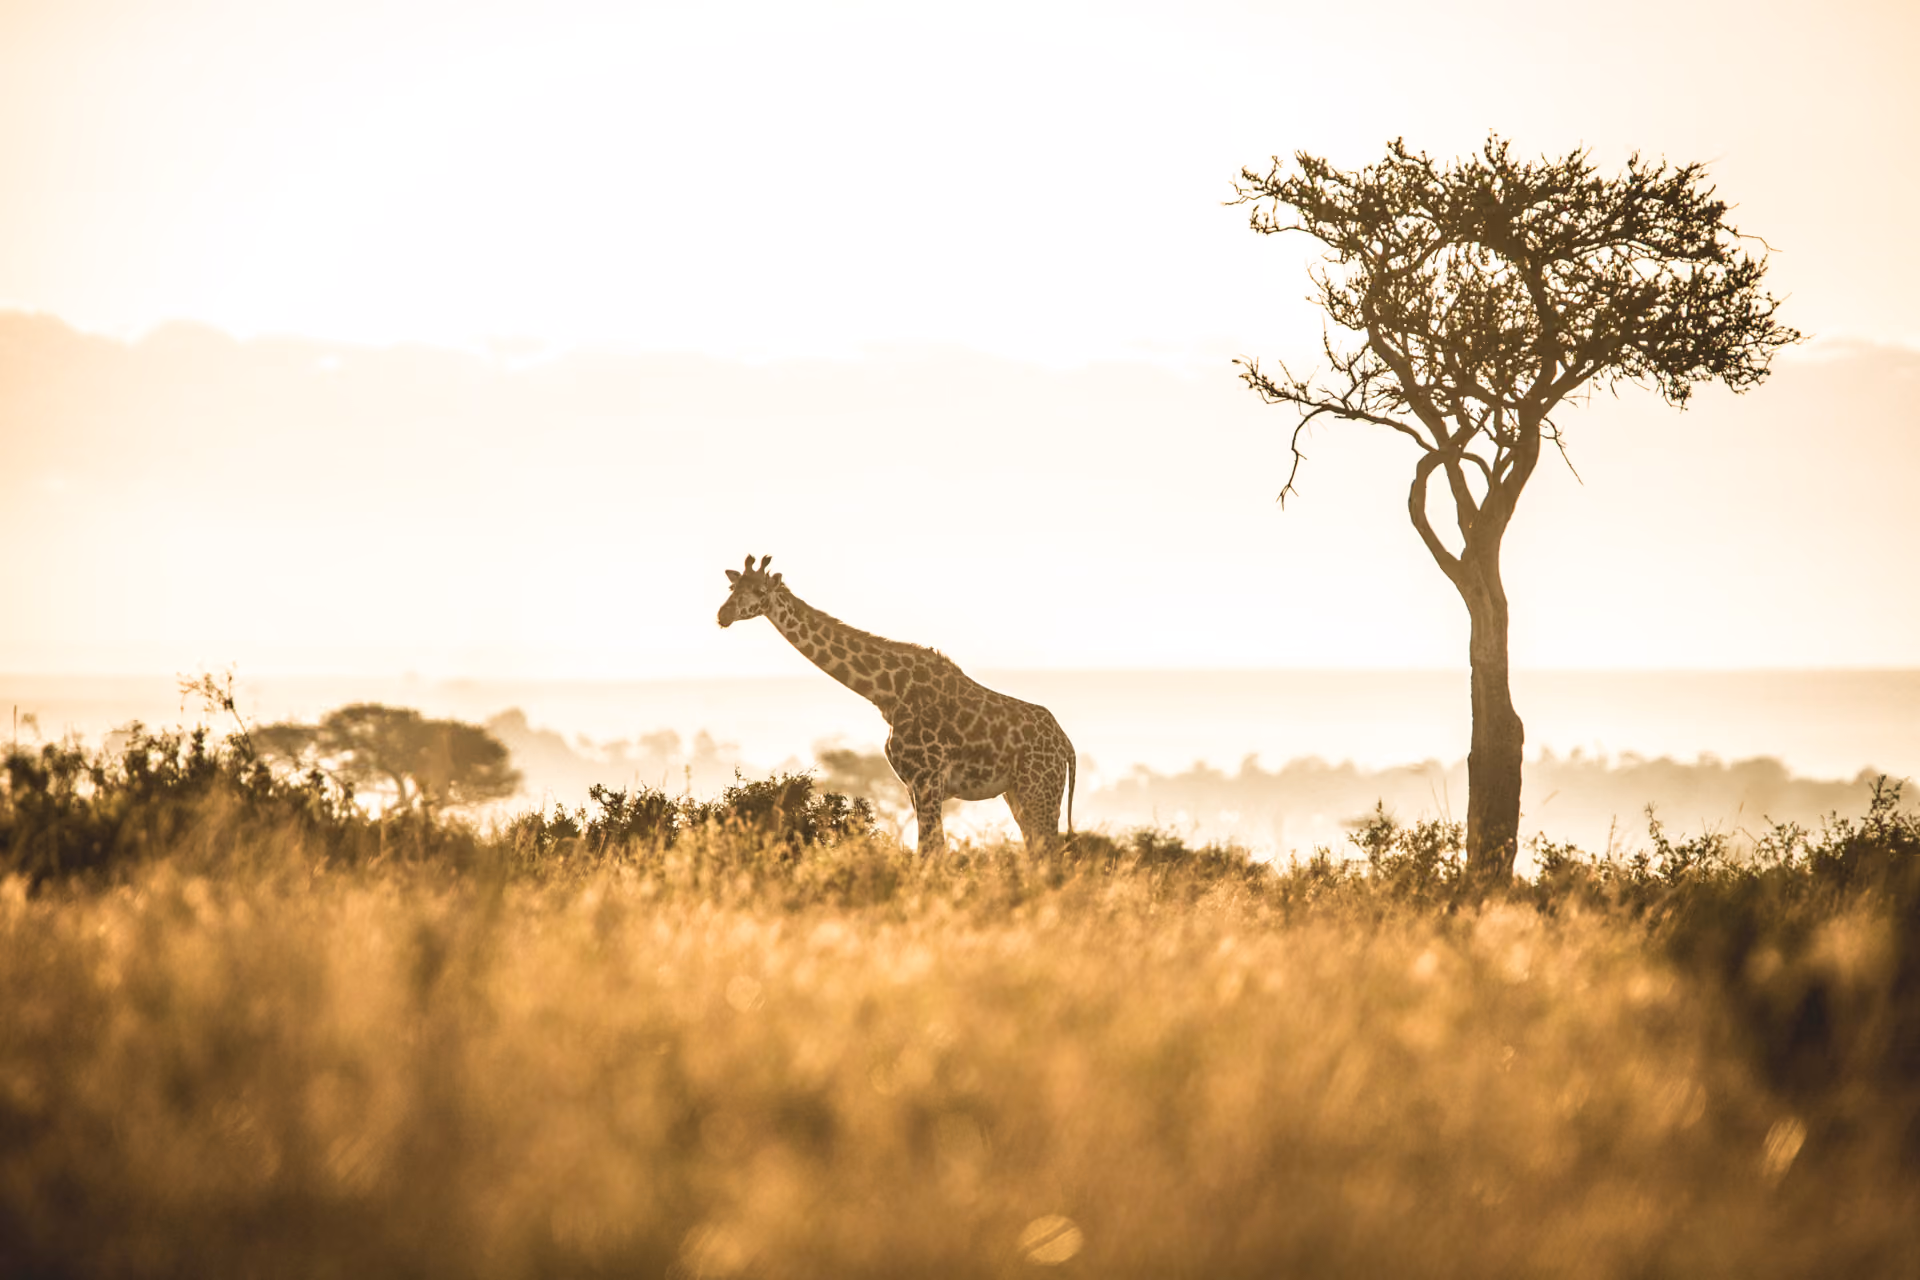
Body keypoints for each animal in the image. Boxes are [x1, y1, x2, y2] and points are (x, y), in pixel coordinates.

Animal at [716, 554, 1075, 857]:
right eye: (733, 588)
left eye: (760, 590)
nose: (724, 615)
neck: (887, 694)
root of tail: (1066, 745)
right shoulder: (912, 785)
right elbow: (932, 849)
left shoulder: (928, 779)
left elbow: (930, 850)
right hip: (1017, 793)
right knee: (1037, 851)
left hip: (1040, 789)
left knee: (1050, 852)